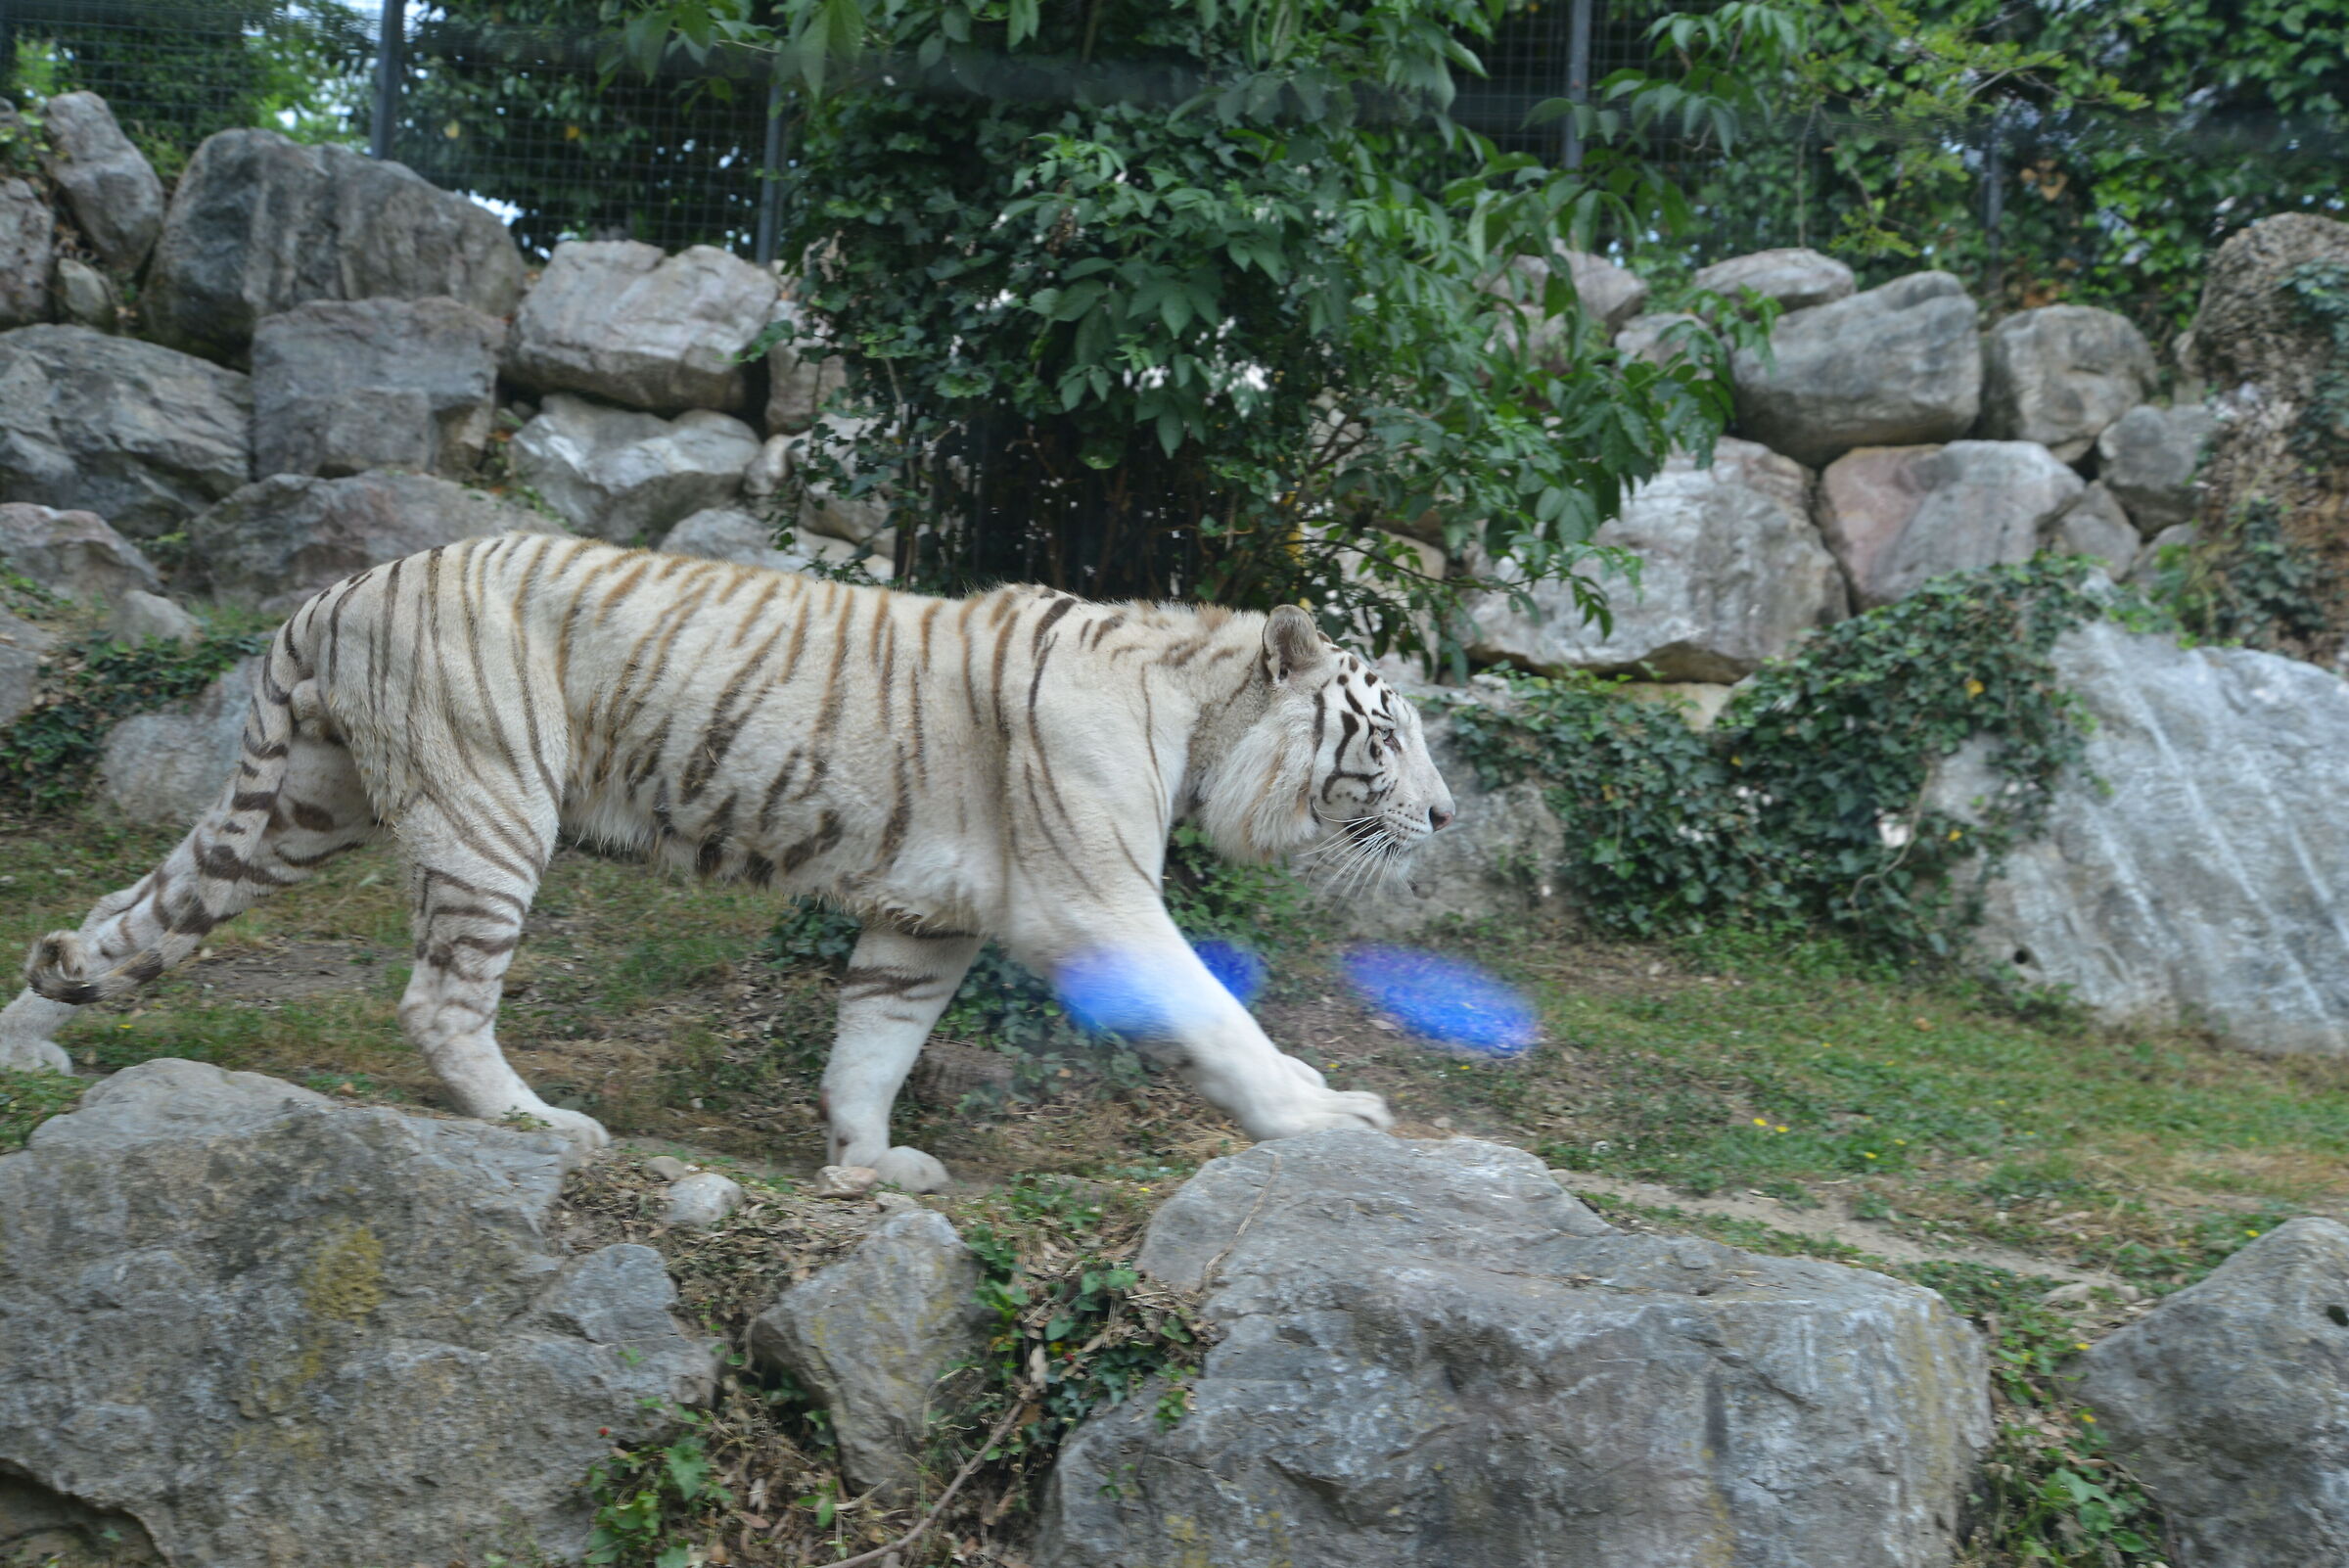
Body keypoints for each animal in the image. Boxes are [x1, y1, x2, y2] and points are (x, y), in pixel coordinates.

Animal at [0, 534, 1456, 1189]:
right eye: (1386, 736)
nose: (1445, 820)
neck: (1196, 713)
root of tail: (339, 588)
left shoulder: (927, 916)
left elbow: (874, 1042)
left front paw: (866, 1163)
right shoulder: (1089, 898)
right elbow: (1215, 1015)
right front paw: (1319, 1118)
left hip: (295, 809)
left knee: (126, 914)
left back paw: (30, 1040)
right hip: (487, 809)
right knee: (440, 998)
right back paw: (537, 1121)